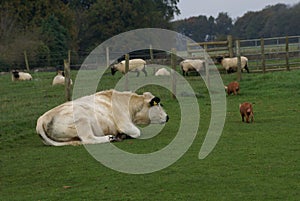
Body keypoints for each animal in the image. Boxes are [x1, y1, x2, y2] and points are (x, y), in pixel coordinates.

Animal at [36, 88, 168, 145]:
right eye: (158, 104)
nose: (167, 117)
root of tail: (42, 118)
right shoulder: (125, 124)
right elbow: (137, 132)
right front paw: (122, 135)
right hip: (82, 120)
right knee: (88, 139)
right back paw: (110, 138)